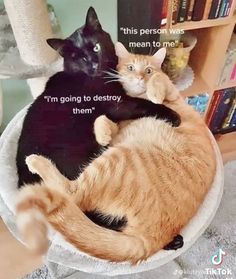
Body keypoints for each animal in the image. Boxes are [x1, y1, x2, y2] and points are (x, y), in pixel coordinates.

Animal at [15, 43, 216, 264]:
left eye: (148, 70)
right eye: (130, 67)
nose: (139, 78)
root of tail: (149, 241)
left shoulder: (165, 93)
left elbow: (159, 80)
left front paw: (154, 93)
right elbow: (107, 121)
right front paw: (102, 132)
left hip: (114, 160)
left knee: (72, 193)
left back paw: (36, 161)